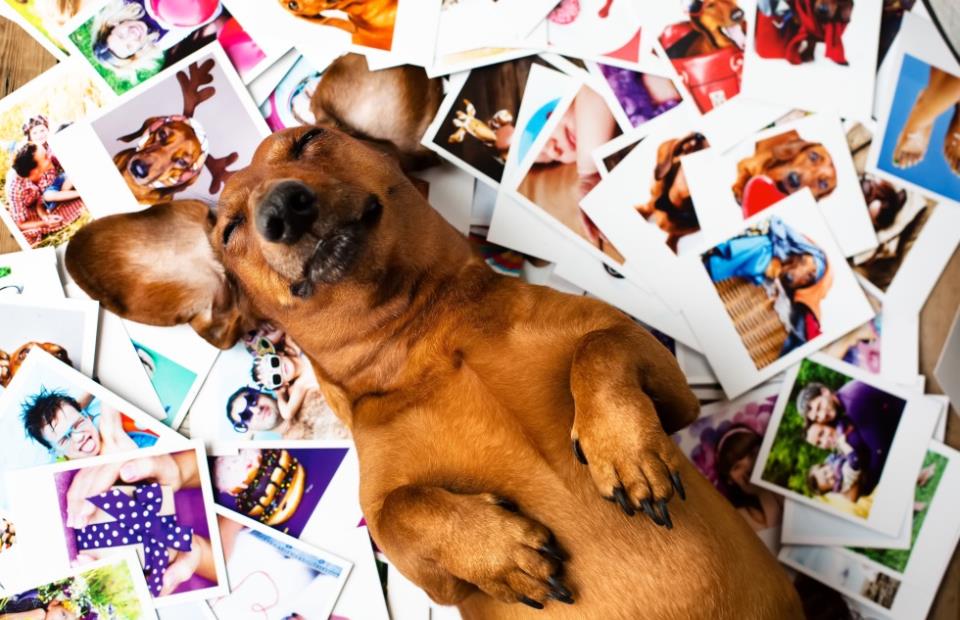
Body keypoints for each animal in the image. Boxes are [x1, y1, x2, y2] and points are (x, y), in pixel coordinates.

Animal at [65, 127, 804, 620]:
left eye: (306, 140)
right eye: (228, 233)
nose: (282, 210)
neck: (428, 340)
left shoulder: (669, 391)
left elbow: (599, 349)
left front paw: (622, 449)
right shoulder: (420, 564)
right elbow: (402, 509)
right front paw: (502, 550)